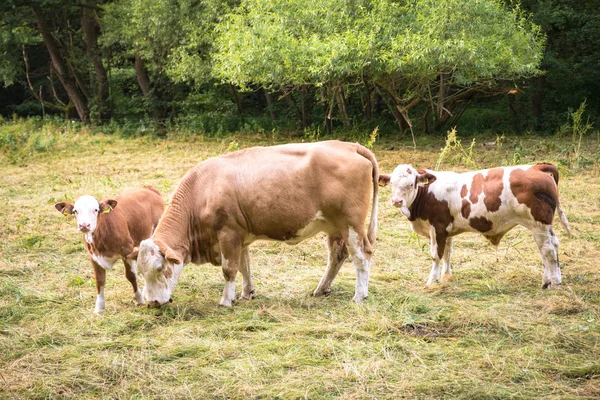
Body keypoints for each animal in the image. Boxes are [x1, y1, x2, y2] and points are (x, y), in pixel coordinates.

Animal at [54, 186, 164, 314]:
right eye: (75, 211)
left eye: (96, 210)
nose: (84, 225)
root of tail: (148, 188)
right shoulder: (93, 257)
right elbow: (99, 280)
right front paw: (99, 308)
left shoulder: (126, 250)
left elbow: (131, 275)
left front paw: (139, 299)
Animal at [135, 141, 380, 306]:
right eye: (141, 271)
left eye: (160, 268)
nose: (152, 302)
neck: (202, 189)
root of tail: (349, 145)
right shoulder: (240, 237)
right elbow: (245, 267)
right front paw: (246, 293)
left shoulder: (228, 234)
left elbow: (229, 269)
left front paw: (226, 300)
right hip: (334, 226)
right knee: (337, 256)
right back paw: (321, 289)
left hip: (352, 225)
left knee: (362, 256)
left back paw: (359, 295)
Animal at [380, 164, 572, 290]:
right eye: (392, 184)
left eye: (411, 184)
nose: (396, 201)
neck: (427, 193)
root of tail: (536, 167)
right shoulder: (447, 230)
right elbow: (448, 253)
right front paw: (446, 276)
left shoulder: (438, 227)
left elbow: (436, 255)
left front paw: (432, 281)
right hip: (542, 227)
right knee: (551, 247)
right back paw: (547, 281)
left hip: (539, 224)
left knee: (548, 251)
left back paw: (554, 283)